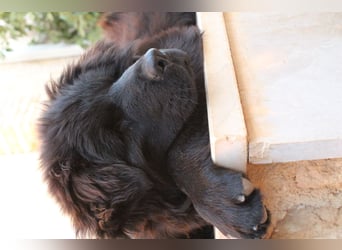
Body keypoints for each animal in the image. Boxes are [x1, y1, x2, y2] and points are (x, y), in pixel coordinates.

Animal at [39, 12, 270, 239]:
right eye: (119, 132)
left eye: (113, 78)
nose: (155, 57)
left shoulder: (192, 50)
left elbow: (178, 152)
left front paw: (221, 206)